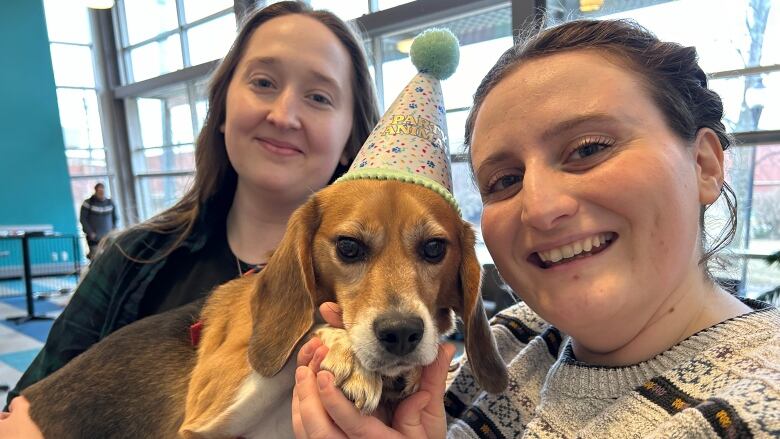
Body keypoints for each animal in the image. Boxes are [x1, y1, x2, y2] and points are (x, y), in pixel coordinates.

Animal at [22, 180, 506, 439]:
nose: (402, 333)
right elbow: (306, 325)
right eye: (348, 247)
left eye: (434, 248)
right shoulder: (201, 421)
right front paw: (344, 352)